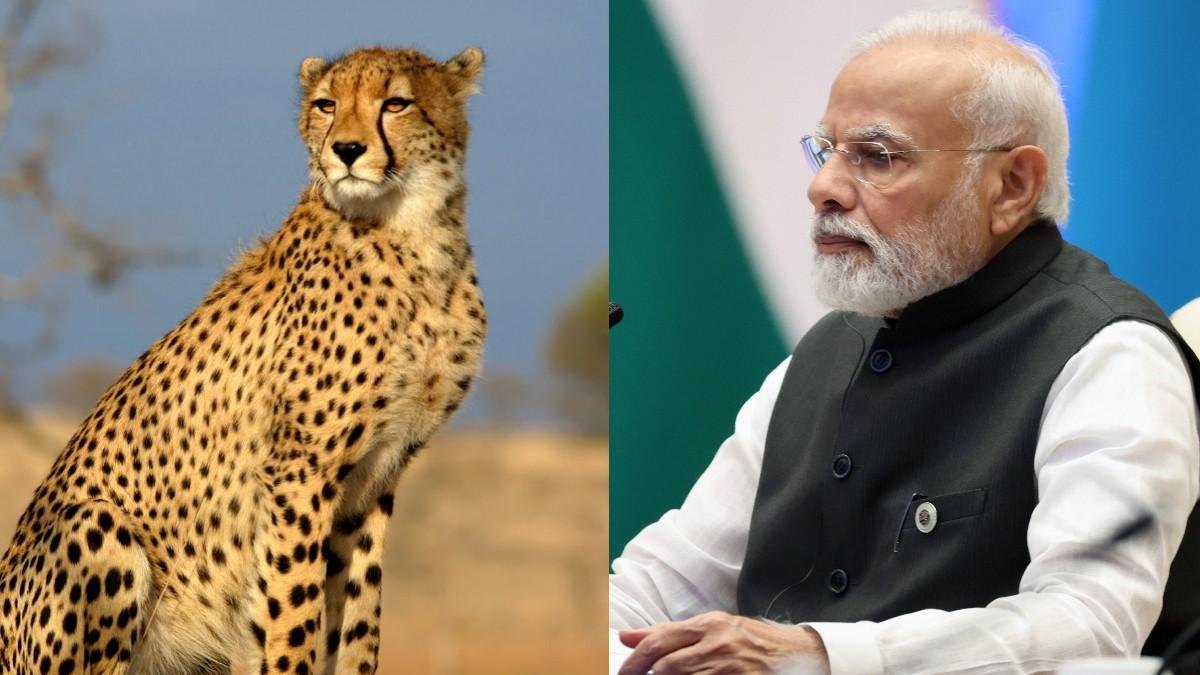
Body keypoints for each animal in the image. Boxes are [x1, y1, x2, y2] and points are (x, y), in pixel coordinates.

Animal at [0, 45, 487, 675]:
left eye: (396, 103)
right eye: (326, 105)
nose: (346, 150)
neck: (415, 237)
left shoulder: (375, 476)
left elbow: (358, 620)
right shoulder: (300, 471)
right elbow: (293, 614)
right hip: (97, 525)